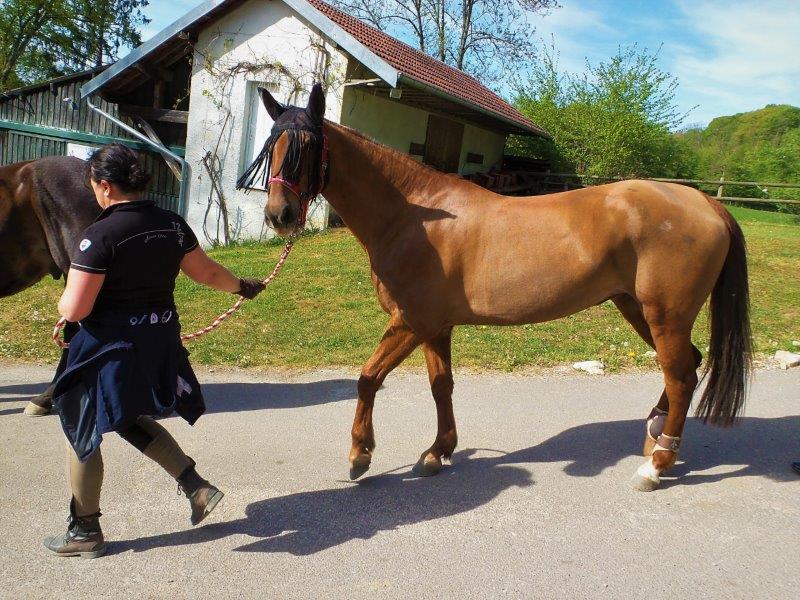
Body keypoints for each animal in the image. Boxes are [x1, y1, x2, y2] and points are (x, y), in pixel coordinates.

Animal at [242, 85, 752, 492]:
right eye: (272, 145)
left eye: (308, 147)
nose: (279, 215)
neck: (412, 216)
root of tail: (704, 202)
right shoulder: (436, 326)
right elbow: (441, 386)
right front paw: (438, 451)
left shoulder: (411, 321)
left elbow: (368, 378)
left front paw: (360, 455)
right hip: (637, 308)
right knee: (688, 366)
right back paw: (654, 436)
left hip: (664, 314)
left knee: (681, 375)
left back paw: (657, 465)